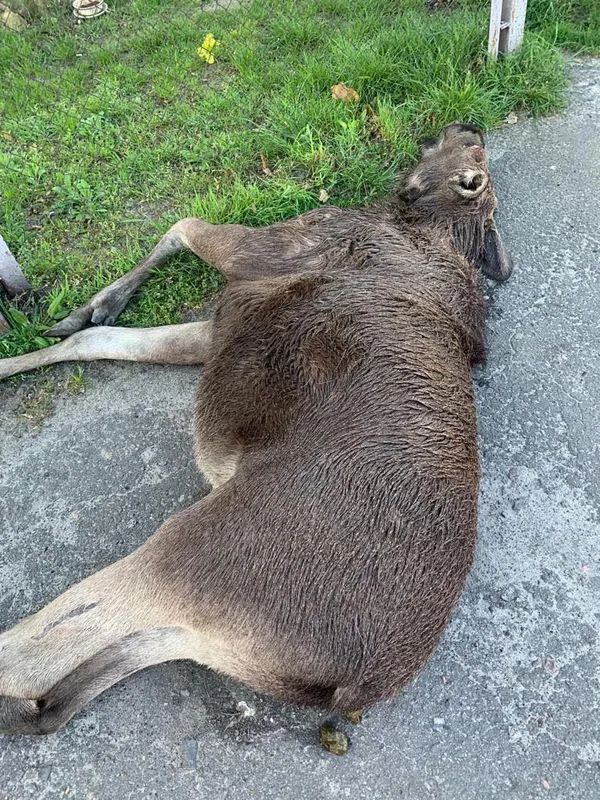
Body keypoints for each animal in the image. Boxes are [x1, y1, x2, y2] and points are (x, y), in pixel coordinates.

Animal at [0, 123, 512, 736]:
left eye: (468, 155)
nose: (469, 127)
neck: (426, 221)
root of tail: (349, 690)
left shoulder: (269, 252)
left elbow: (182, 224)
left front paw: (91, 303)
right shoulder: (221, 323)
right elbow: (96, 338)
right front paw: (69, 323)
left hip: (182, 558)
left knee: (31, 660)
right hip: (190, 627)